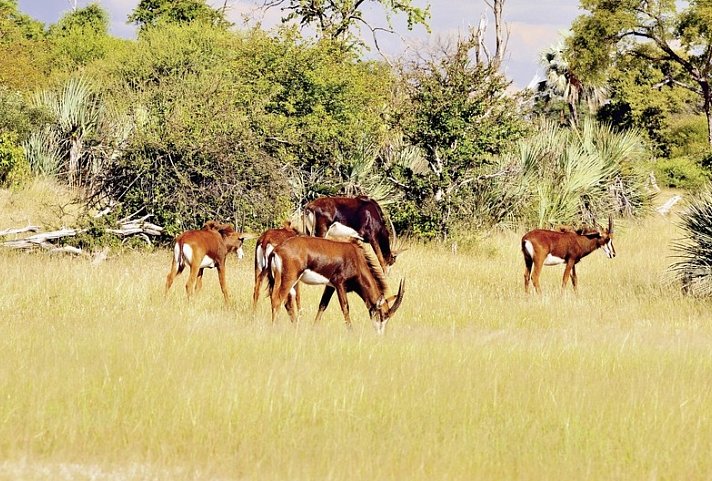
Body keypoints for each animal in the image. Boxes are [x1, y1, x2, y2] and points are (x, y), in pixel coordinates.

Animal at [268, 234, 404, 332]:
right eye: (382, 315)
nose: (380, 334)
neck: (356, 257)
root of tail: (277, 249)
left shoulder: (330, 286)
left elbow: (323, 305)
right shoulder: (340, 284)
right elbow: (345, 307)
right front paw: (350, 331)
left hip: (280, 279)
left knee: (281, 301)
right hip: (289, 278)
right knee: (278, 300)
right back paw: (275, 328)